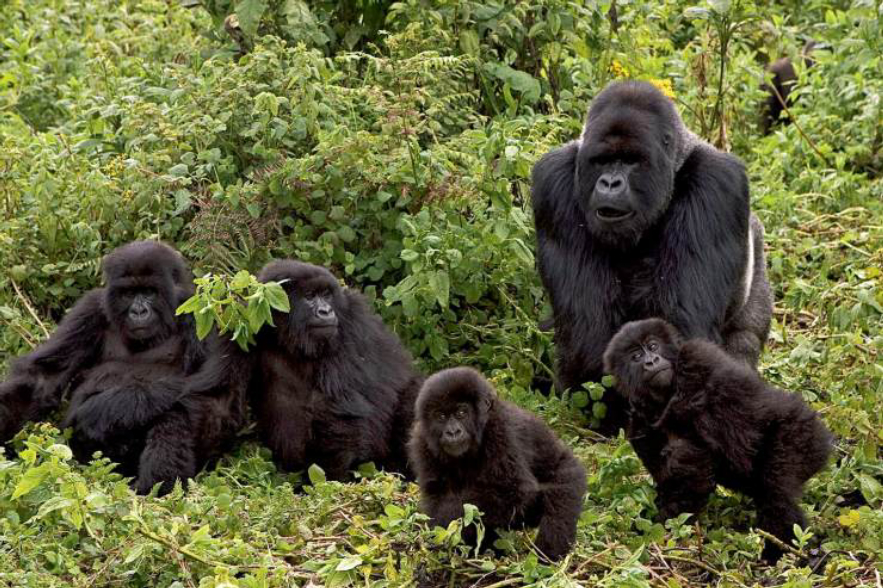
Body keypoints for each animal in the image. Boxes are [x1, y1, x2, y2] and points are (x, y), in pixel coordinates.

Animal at [0, 241, 245, 494]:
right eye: (128, 293)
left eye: (149, 292)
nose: (138, 312)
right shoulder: (89, 310)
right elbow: (43, 378)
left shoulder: (203, 314)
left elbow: (216, 398)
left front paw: (99, 412)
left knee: (179, 410)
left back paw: (157, 488)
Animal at [408, 368, 588, 560]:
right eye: (441, 416)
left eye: (461, 413)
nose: (453, 432)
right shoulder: (422, 441)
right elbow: (436, 495)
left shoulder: (500, 429)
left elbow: (512, 490)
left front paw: (442, 525)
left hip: (568, 470)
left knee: (562, 494)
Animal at [532, 80, 772, 434]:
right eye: (602, 161)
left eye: (632, 161)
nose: (610, 183)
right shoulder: (553, 182)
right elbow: (588, 329)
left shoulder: (716, 184)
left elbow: (681, 328)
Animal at [604, 320, 832, 564]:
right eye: (636, 356)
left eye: (653, 346)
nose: (651, 361)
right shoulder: (638, 420)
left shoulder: (698, 358)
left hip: (803, 435)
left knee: (777, 491)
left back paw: (785, 552)